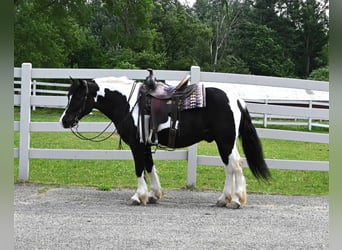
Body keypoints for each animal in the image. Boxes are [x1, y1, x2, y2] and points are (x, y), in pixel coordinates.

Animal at [60, 73, 272, 208]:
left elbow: (139, 168)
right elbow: (149, 166)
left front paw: (138, 196)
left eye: (78, 97)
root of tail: (237, 99)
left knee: (234, 165)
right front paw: (154, 194)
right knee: (232, 166)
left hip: (225, 142)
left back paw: (235, 200)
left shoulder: (137, 145)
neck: (128, 104)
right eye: (68, 96)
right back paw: (225, 199)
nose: (64, 121)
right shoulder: (146, 145)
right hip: (226, 143)